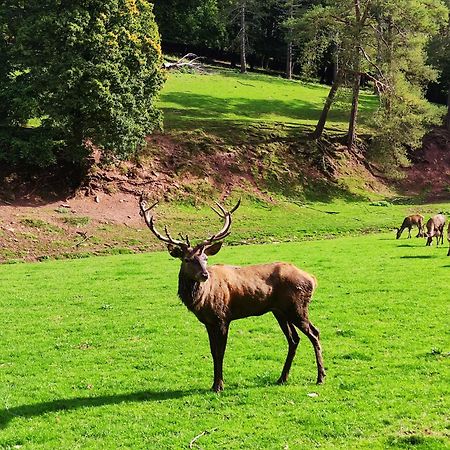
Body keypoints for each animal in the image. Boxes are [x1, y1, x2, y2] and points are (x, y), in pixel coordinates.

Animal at [139, 197, 326, 390]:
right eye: (187, 259)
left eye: (205, 258)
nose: (204, 275)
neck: (201, 300)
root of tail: (313, 279)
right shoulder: (208, 322)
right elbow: (213, 351)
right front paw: (214, 384)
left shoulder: (222, 317)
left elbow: (220, 352)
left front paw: (218, 385)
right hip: (280, 311)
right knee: (294, 339)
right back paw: (282, 378)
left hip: (297, 307)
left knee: (314, 333)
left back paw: (320, 377)